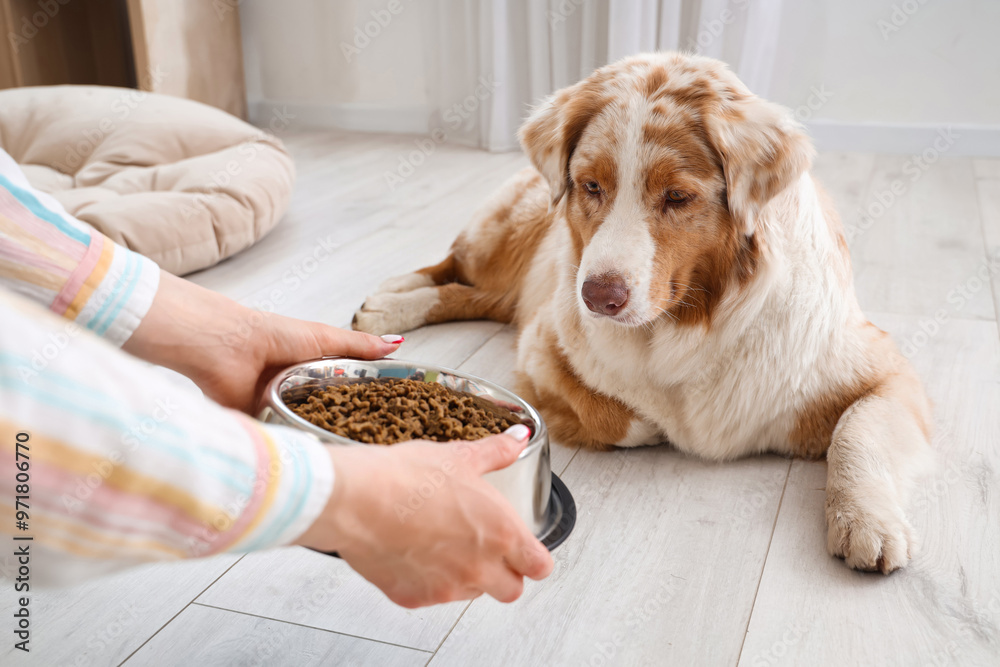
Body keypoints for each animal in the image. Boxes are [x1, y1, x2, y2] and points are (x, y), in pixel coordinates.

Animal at [356, 53, 932, 576]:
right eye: (591, 186)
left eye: (677, 197)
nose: (598, 298)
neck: (687, 324)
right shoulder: (542, 345)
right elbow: (622, 417)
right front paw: (656, 424)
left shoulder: (885, 370)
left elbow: (856, 431)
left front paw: (867, 520)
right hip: (506, 238)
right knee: (455, 269)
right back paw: (391, 301)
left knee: (481, 295)